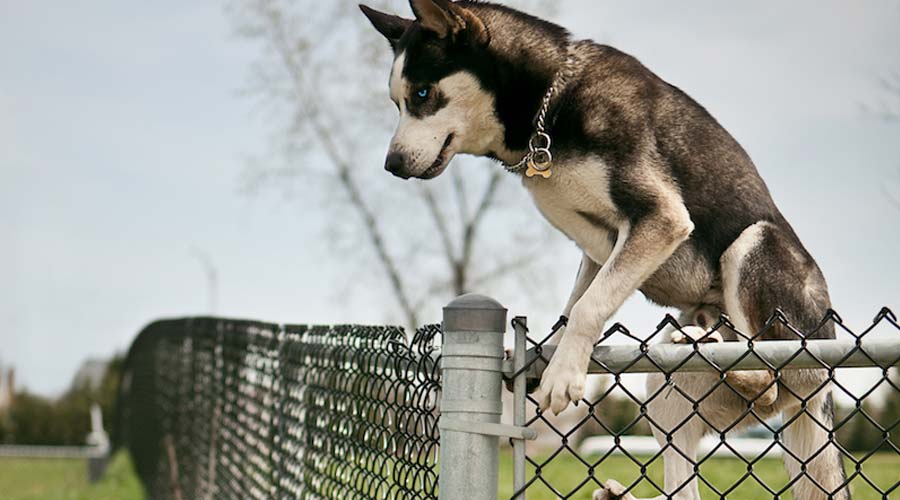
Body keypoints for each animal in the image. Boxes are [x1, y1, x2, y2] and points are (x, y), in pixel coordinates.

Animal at [362, 1, 848, 498]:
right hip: (663, 388)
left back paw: (716, 349)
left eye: (422, 94)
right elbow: (573, 304)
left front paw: (563, 374)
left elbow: (588, 308)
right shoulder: (601, 248)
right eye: (396, 102)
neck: (549, 104)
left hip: (756, 249)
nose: (392, 165)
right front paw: (548, 352)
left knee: (768, 376)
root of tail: (821, 388)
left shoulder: (660, 217)